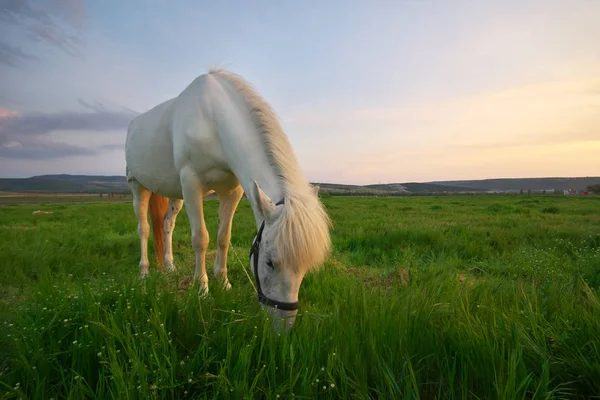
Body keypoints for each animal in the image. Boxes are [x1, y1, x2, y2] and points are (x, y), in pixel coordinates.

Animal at [125, 69, 332, 330]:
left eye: (305, 267)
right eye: (269, 262)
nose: (283, 328)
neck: (213, 120)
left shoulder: (232, 191)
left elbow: (224, 237)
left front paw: (223, 283)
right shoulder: (191, 183)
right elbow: (200, 238)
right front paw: (201, 288)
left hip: (175, 194)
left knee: (166, 225)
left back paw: (170, 266)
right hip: (138, 186)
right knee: (143, 228)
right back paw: (144, 272)